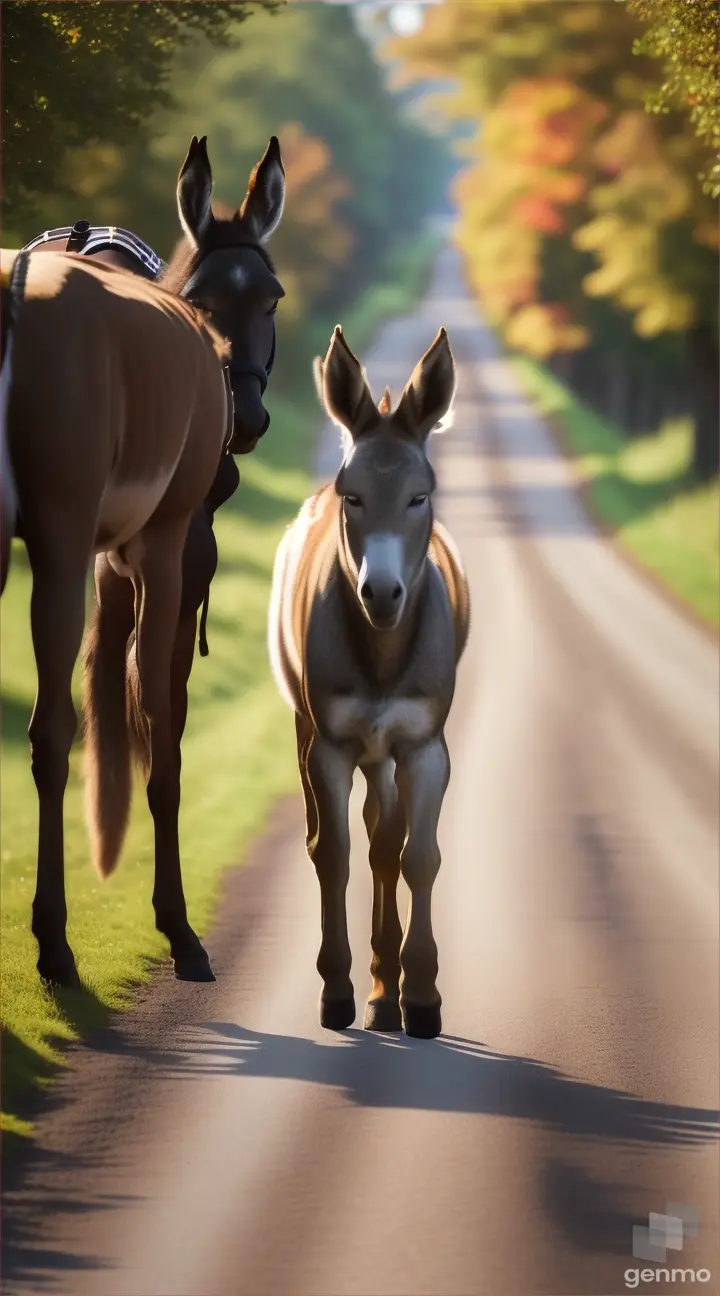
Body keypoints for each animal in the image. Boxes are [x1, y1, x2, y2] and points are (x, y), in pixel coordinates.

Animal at [14, 134, 287, 979]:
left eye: (272, 298)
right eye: (202, 299)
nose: (249, 416)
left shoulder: (153, 580)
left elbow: (137, 711)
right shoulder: (144, 569)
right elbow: (154, 728)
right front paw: (175, 923)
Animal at [266, 326, 468, 1041]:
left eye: (419, 495)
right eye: (351, 496)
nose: (381, 593)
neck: (382, 655)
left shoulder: (425, 743)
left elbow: (420, 856)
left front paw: (425, 997)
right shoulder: (328, 741)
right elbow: (333, 853)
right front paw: (336, 991)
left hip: (387, 749)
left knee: (388, 842)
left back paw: (389, 993)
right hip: (320, 730)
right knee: (364, 841)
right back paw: (377, 991)